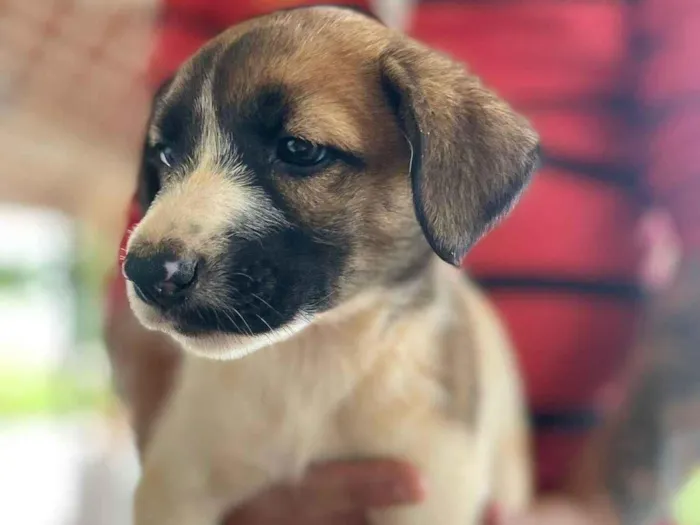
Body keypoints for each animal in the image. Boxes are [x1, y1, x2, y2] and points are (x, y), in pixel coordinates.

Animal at [123, 5, 540, 524]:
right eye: (165, 154)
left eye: (299, 149)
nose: (144, 271)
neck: (314, 358)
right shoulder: (178, 485)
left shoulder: (430, 488)